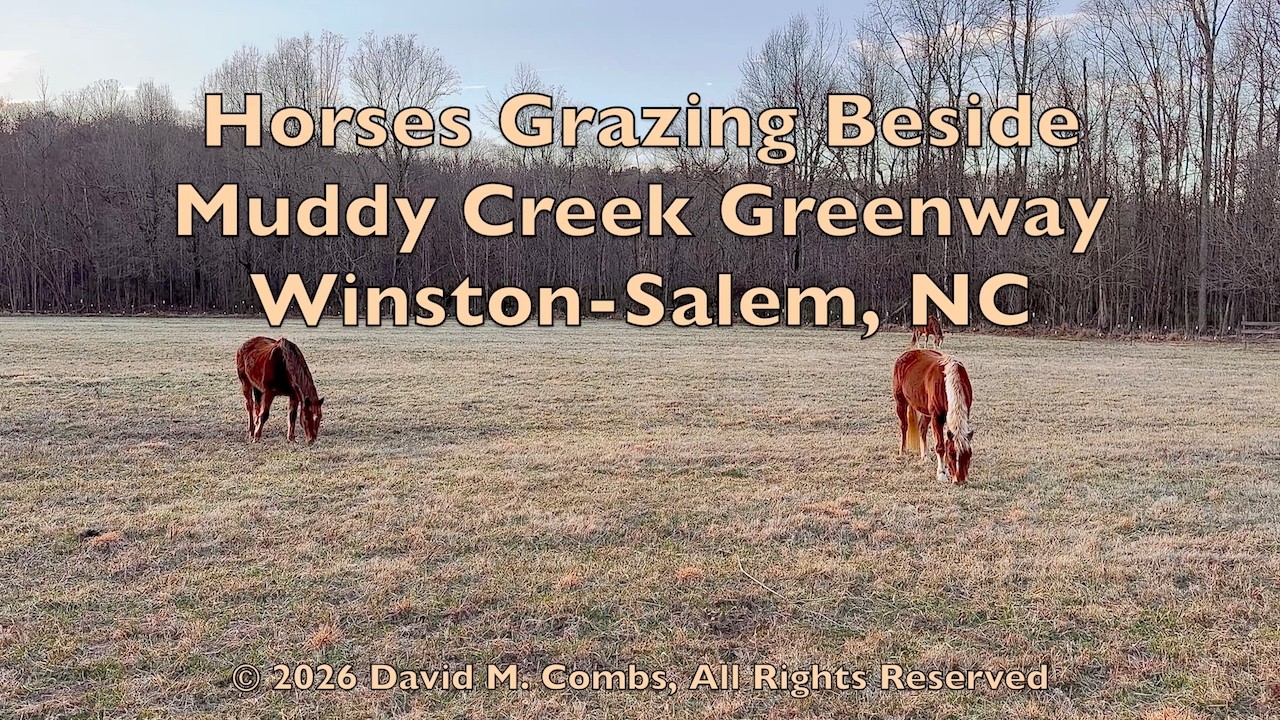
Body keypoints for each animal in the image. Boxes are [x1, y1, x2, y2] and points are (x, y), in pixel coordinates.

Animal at [892, 348, 974, 485]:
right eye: (951, 454)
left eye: (968, 455)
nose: (959, 480)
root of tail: (906, 354)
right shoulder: (937, 417)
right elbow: (940, 446)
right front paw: (941, 474)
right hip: (901, 401)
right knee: (904, 426)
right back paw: (902, 451)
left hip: (926, 411)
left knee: (922, 428)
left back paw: (925, 456)